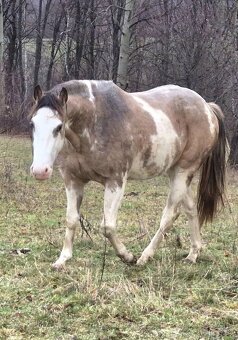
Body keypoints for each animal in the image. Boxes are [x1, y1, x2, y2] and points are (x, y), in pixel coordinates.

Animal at [29, 80, 227, 268]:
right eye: (32, 124)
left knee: (169, 216)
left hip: (183, 171)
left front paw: (127, 256)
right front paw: (62, 259)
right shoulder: (73, 180)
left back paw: (145, 257)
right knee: (191, 209)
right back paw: (193, 254)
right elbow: (71, 219)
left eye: (58, 126)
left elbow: (107, 226)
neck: (94, 120)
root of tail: (207, 107)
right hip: (175, 172)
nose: (40, 171)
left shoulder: (115, 181)